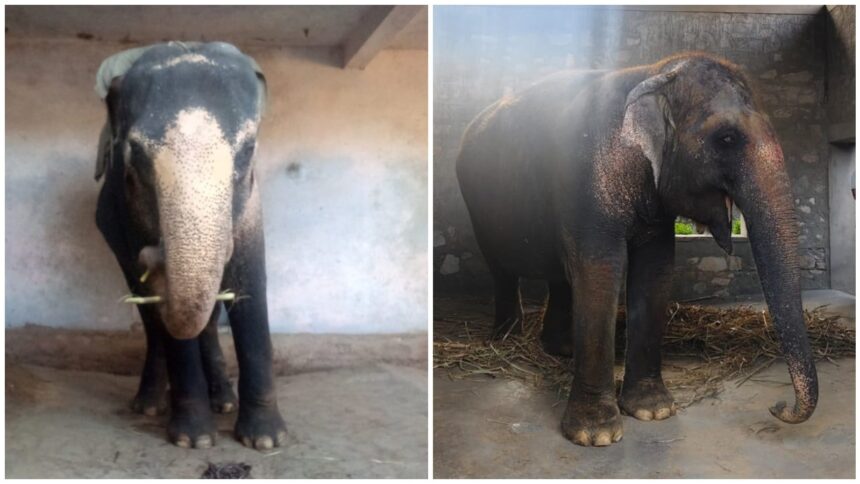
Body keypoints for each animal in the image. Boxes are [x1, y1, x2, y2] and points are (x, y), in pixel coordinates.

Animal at [94, 42, 286, 450]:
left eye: (248, 149)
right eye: (134, 154)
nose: (152, 256)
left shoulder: (252, 206)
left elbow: (249, 285)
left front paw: (266, 440)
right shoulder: (129, 215)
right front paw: (193, 440)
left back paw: (224, 401)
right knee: (152, 320)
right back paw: (149, 405)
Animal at [455, 52, 818, 447]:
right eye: (726, 138)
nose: (778, 407)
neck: (652, 73)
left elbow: (655, 271)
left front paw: (653, 411)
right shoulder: (585, 181)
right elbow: (600, 268)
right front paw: (595, 436)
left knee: (561, 275)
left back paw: (561, 349)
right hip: (477, 207)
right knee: (502, 269)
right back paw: (506, 337)